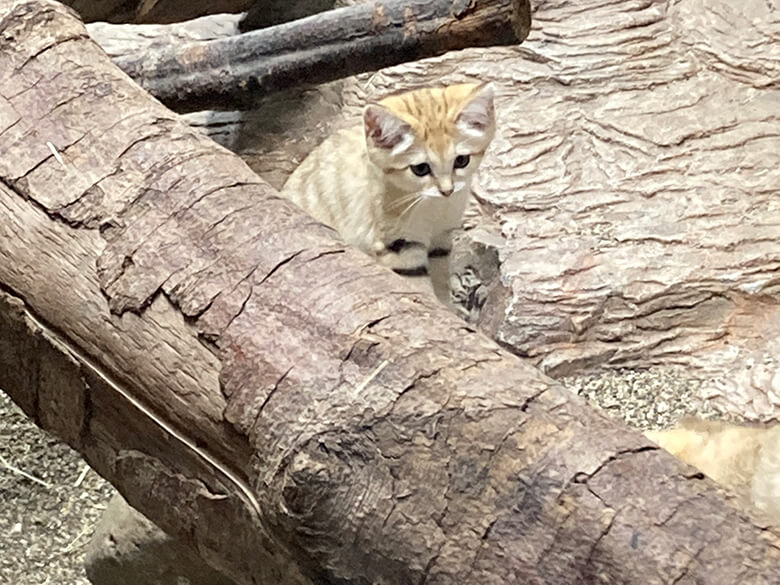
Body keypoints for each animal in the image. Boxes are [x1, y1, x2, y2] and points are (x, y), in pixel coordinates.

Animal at [280, 83, 494, 302]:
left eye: (461, 161)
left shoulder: (441, 240)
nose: (447, 190)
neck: (433, 207)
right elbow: (417, 287)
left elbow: (441, 281)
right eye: (420, 169)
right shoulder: (399, 245)